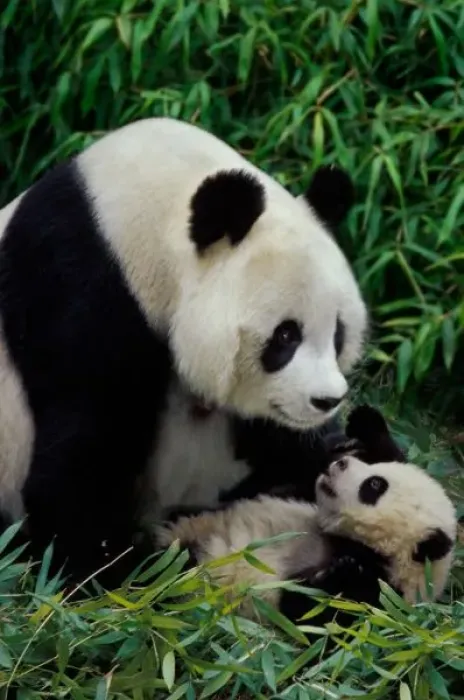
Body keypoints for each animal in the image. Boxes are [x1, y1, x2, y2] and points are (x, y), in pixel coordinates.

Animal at [0, 117, 367, 586]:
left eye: (337, 332)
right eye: (286, 336)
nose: (326, 400)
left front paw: (345, 451)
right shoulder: (79, 296)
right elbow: (80, 459)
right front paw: (118, 571)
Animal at [156, 409, 457, 629]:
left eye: (374, 485)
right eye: (375, 471)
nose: (340, 464)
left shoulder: (381, 597)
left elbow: (311, 614)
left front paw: (344, 571)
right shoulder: (300, 490)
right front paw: (363, 427)